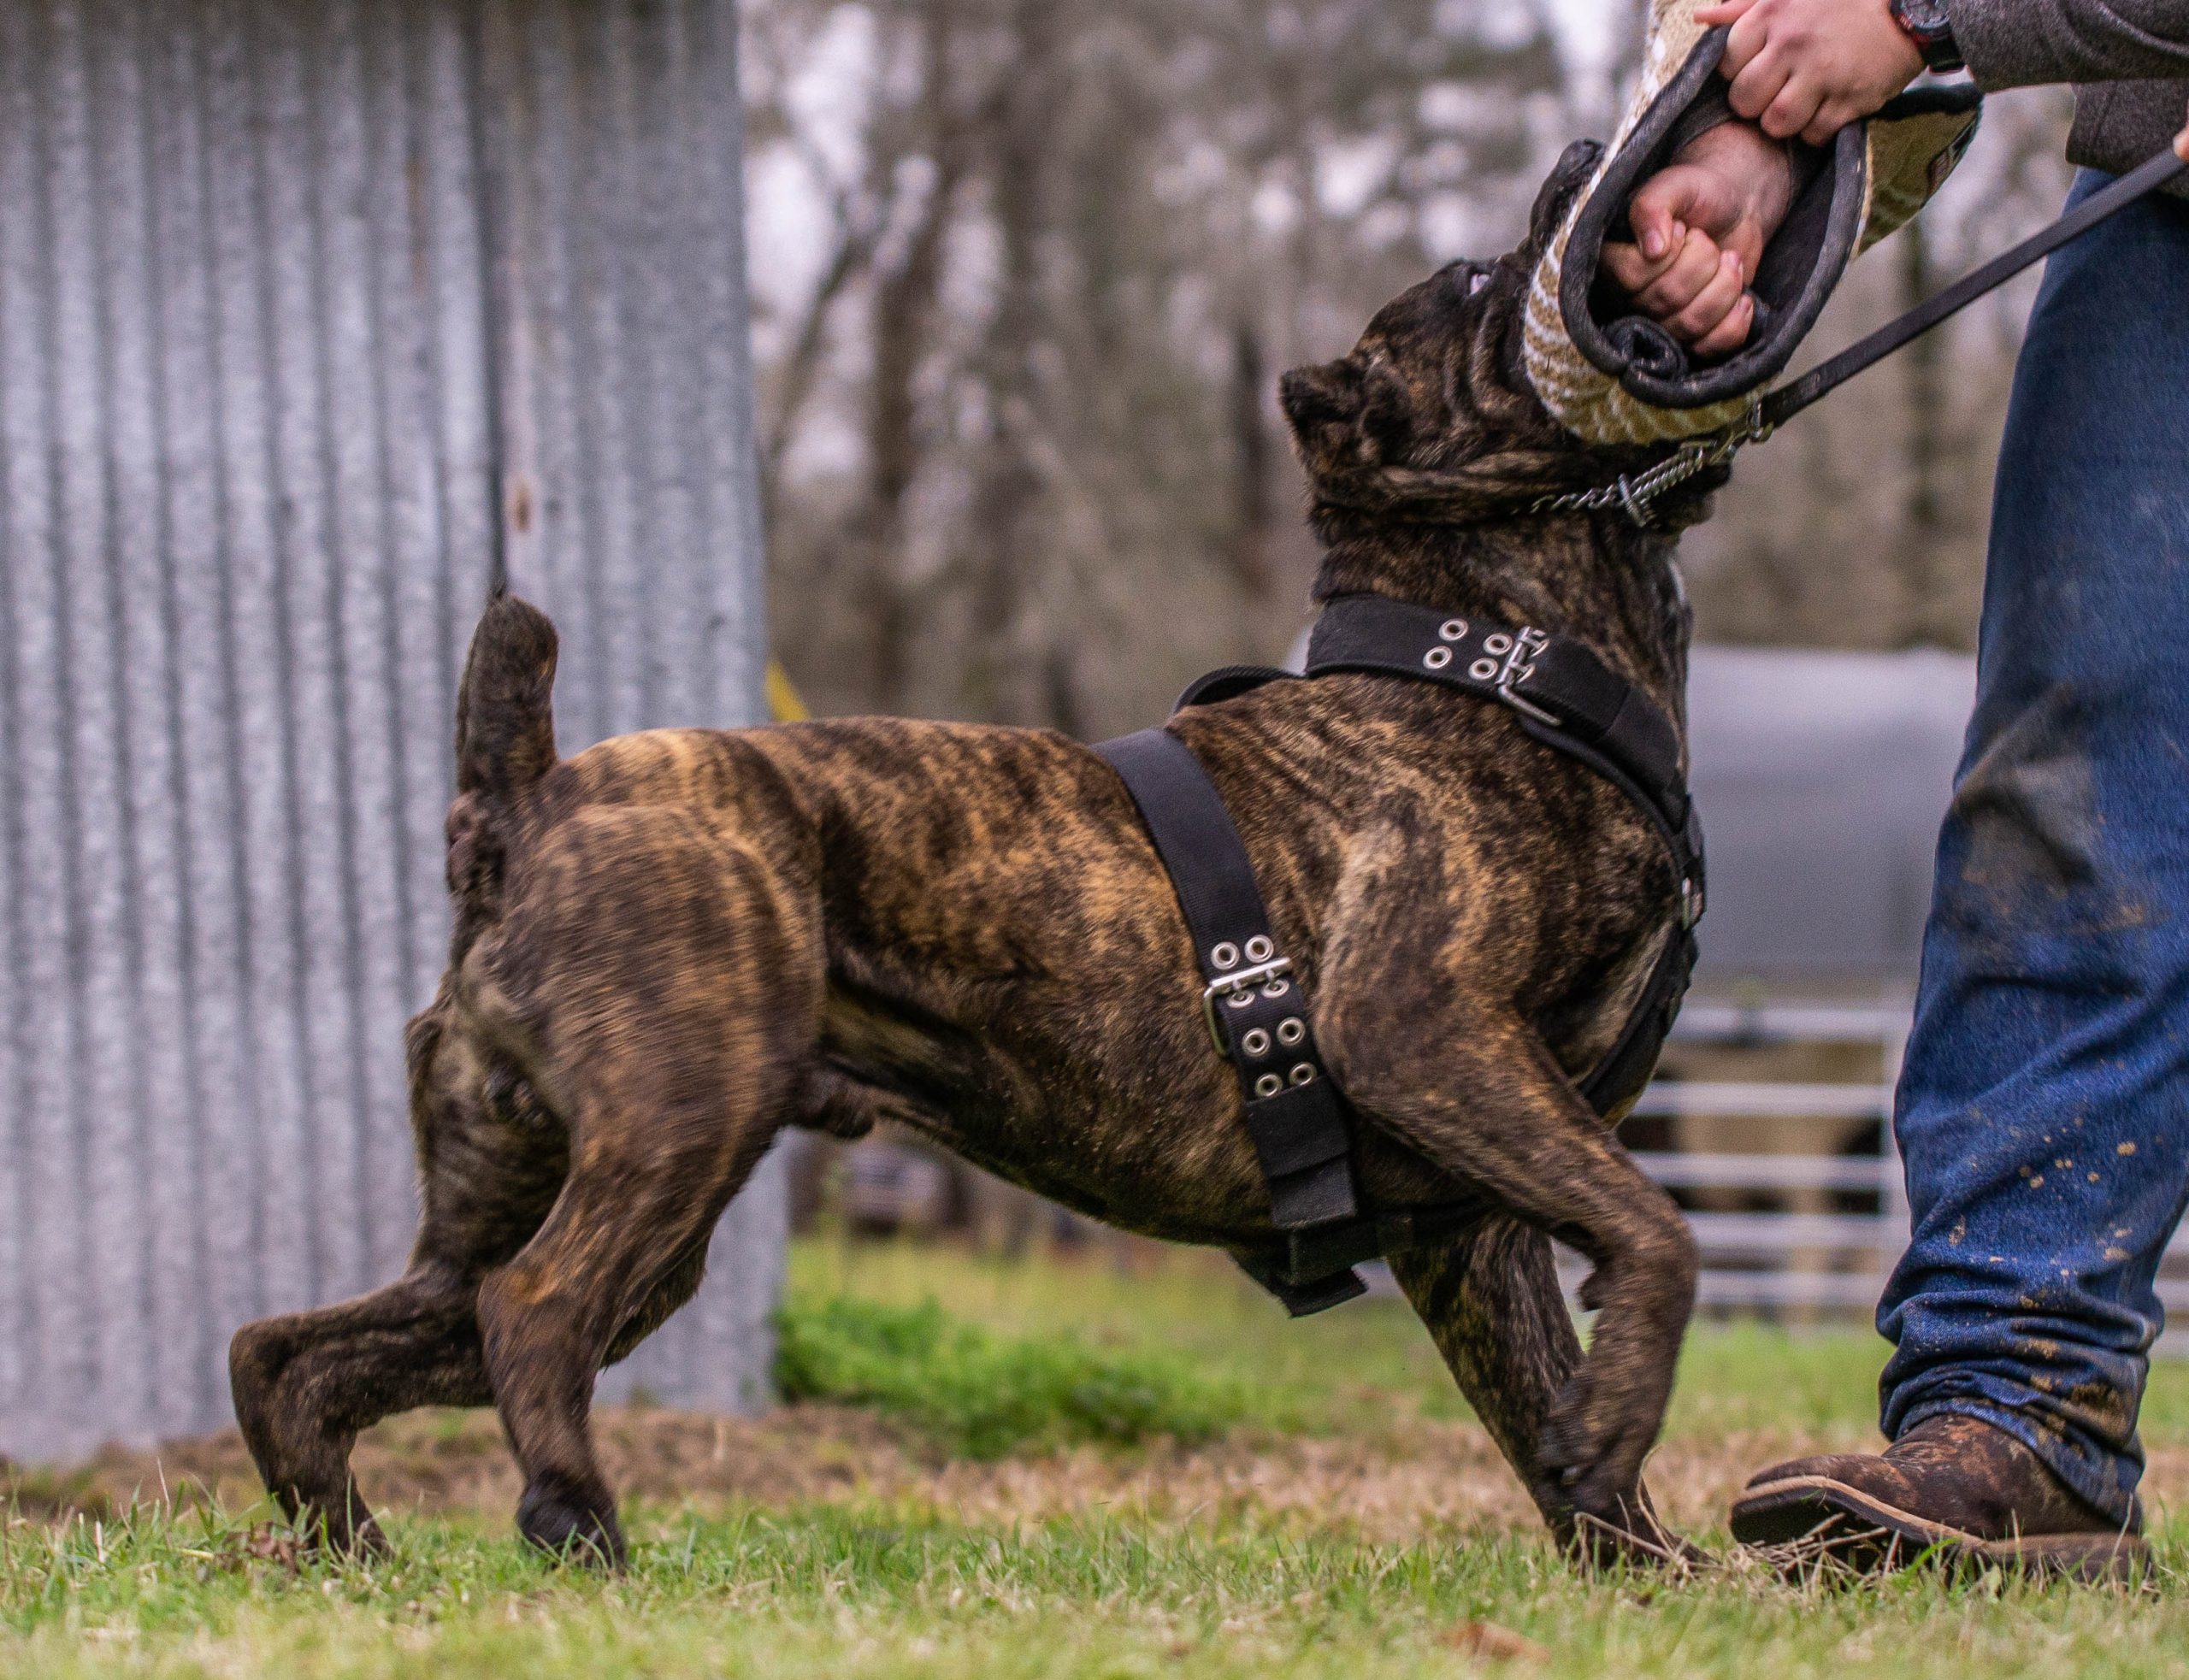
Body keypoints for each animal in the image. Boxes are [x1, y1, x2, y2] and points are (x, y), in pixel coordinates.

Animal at [231, 150, 1716, 1565]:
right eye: (1470, 282)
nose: (1586, 159)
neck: (1489, 655)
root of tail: (526, 800)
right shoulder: (1422, 1028)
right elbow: (1660, 1228)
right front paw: (1626, 1415)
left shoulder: (1474, 1211)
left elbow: (1545, 1410)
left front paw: (1644, 1558)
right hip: (676, 1134)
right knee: (528, 1314)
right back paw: (576, 1525)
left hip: (538, 1189)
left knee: (302, 1353)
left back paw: (350, 1548)